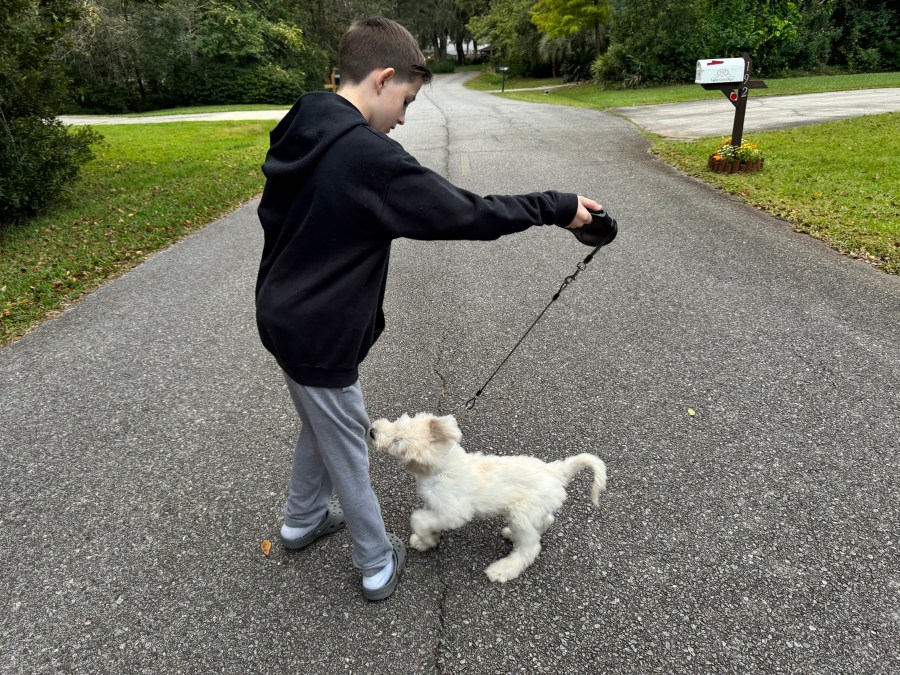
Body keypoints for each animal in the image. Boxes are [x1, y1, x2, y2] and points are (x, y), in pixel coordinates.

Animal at [369, 412, 607, 583]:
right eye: (398, 420)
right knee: (545, 521)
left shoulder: (455, 512)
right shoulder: (436, 505)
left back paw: (504, 569)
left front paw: (426, 539)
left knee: (530, 548)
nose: (372, 431)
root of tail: (555, 471)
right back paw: (513, 534)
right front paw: (427, 539)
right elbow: (426, 518)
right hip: (532, 510)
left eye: (398, 441)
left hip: (522, 513)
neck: (441, 468)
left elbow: (418, 518)